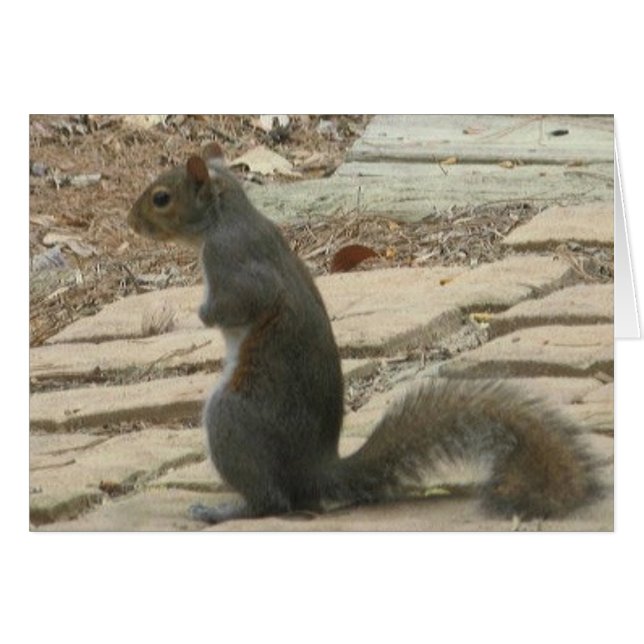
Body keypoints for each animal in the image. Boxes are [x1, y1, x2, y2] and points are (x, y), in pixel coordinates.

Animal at [127, 144, 599, 525]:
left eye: (161, 198)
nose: (130, 221)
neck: (226, 215)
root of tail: (314, 472)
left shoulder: (234, 262)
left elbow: (239, 303)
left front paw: (200, 313)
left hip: (232, 416)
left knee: (272, 501)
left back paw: (220, 511)